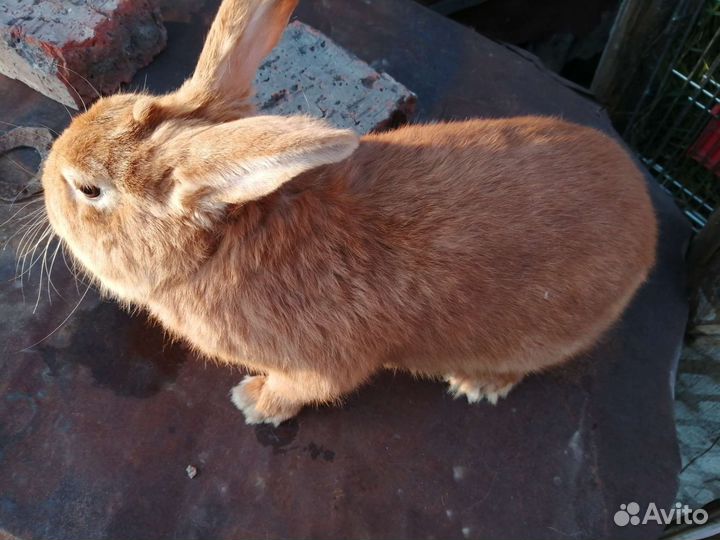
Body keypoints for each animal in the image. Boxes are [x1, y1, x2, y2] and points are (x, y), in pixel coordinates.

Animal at [40, 0, 657, 426]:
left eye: (89, 190)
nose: (44, 176)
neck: (222, 243)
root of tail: (646, 217)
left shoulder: (320, 365)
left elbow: (305, 390)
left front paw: (251, 402)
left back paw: (476, 385)